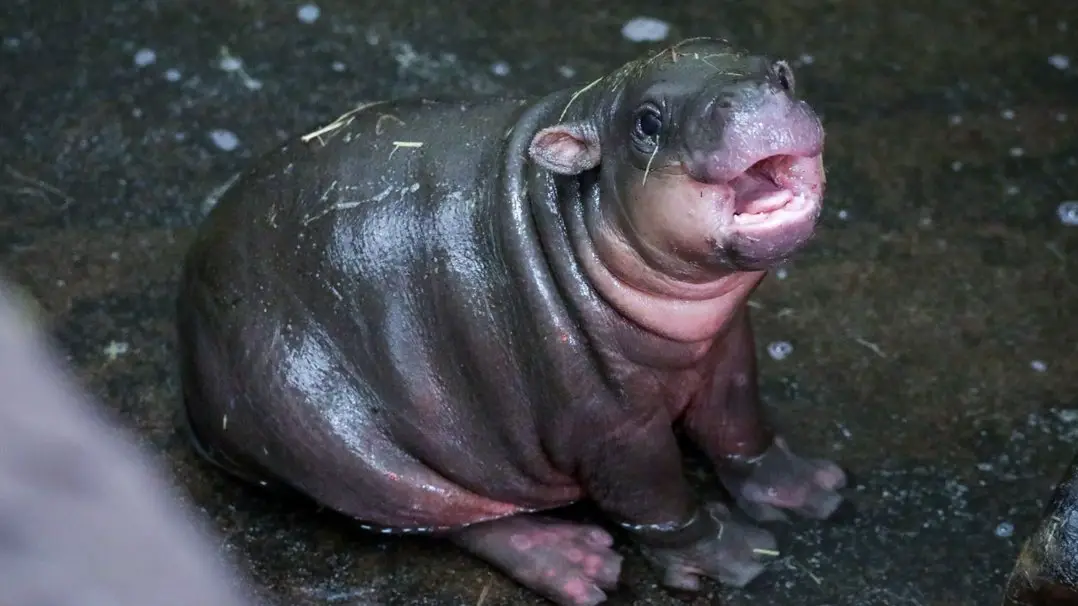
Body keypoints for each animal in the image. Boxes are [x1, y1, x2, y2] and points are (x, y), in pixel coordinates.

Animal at [177, 37, 848, 605]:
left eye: (782, 74)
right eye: (647, 123)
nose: (757, 101)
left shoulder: (729, 350)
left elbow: (741, 426)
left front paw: (814, 489)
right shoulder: (611, 420)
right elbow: (655, 496)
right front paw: (735, 554)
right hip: (322, 426)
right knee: (446, 513)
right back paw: (578, 562)